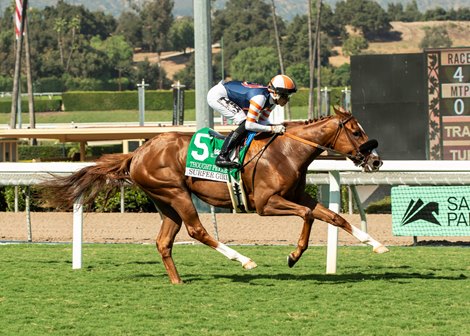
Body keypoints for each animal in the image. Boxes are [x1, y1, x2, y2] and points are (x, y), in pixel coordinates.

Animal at [40, 107, 388, 284]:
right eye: (355, 131)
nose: (375, 161)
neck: (287, 151)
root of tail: (137, 152)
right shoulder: (266, 204)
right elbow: (307, 217)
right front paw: (293, 255)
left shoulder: (298, 196)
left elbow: (333, 216)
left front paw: (376, 244)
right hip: (176, 192)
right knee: (197, 230)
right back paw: (244, 260)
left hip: (165, 202)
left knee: (164, 242)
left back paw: (178, 281)